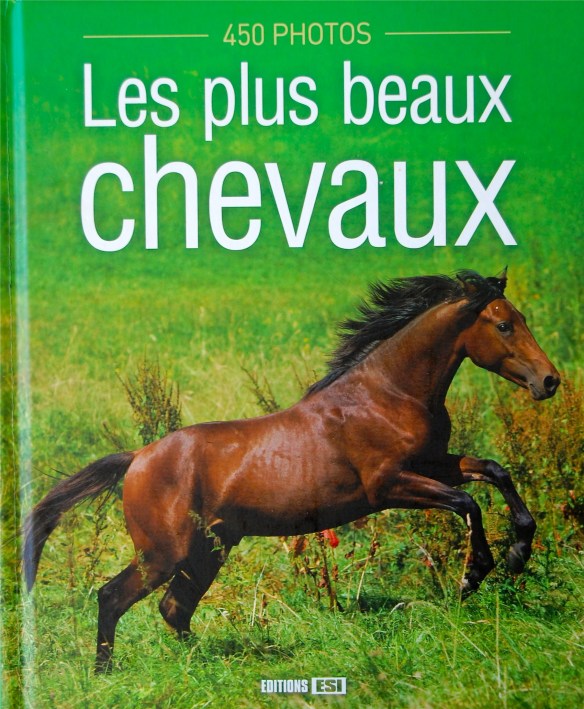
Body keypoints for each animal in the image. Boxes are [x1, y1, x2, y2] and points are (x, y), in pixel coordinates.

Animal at [24, 270, 560, 671]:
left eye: (521, 318)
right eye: (503, 325)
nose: (550, 381)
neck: (387, 395)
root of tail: (137, 458)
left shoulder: (434, 463)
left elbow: (494, 471)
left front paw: (517, 553)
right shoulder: (389, 484)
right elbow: (467, 502)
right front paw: (476, 573)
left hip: (209, 549)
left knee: (174, 609)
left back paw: (216, 662)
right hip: (162, 552)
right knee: (112, 597)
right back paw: (106, 673)